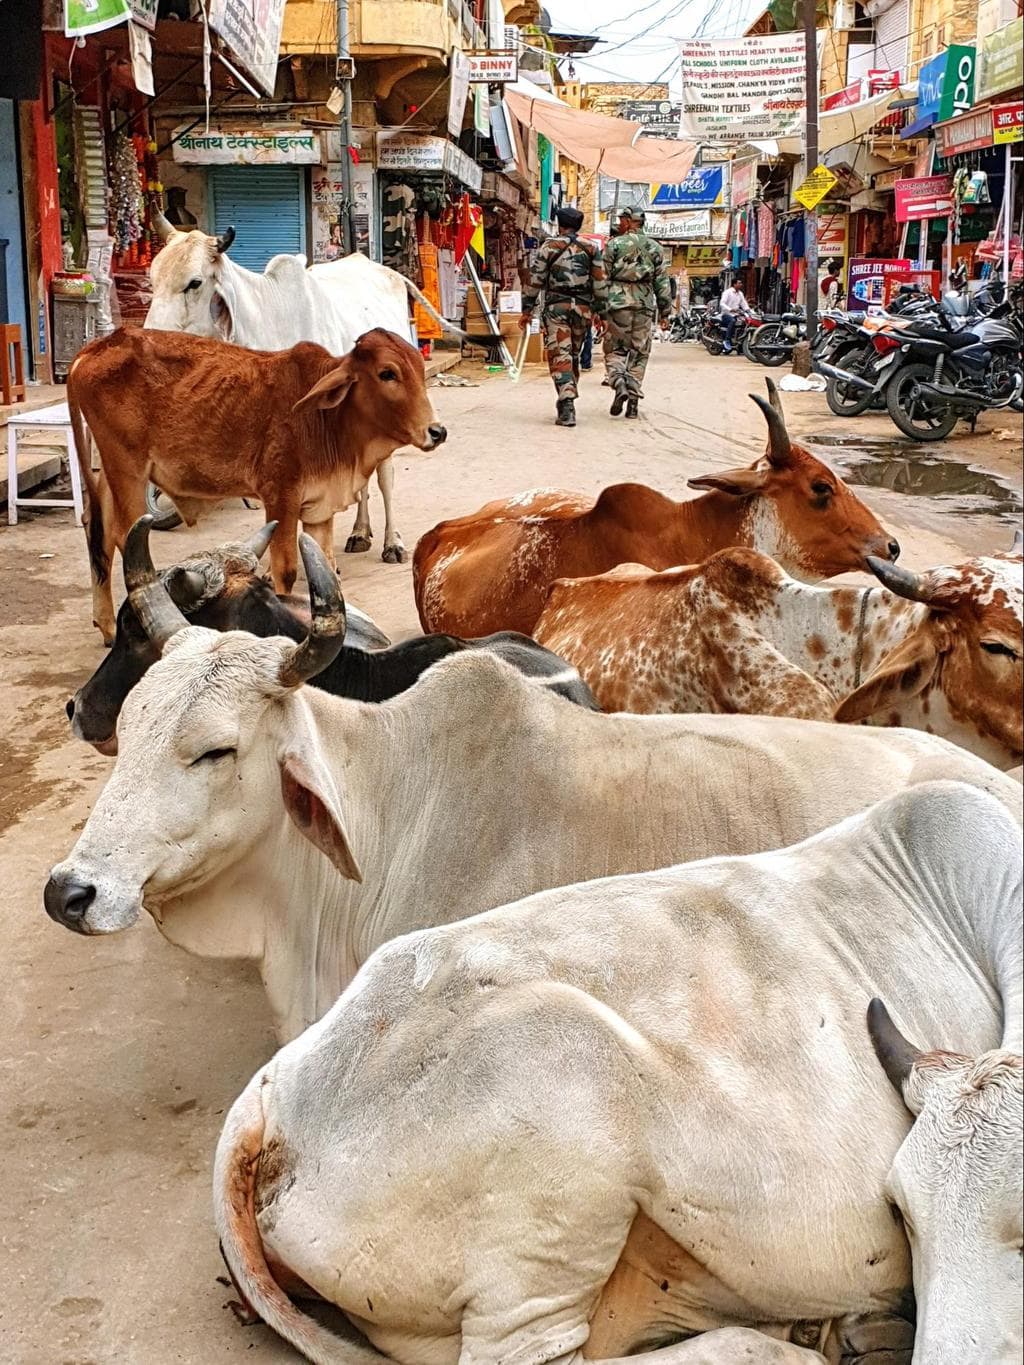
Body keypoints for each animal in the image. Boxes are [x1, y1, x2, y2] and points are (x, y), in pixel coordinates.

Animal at [68, 326, 445, 644]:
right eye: (387, 373)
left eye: (418, 369)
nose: (436, 431)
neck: (328, 421)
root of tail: (99, 346)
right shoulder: (281, 497)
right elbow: (287, 572)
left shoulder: (319, 510)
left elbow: (326, 571)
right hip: (127, 469)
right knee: (125, 536)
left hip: (112, 470)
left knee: (97, 529)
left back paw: (107, 626)